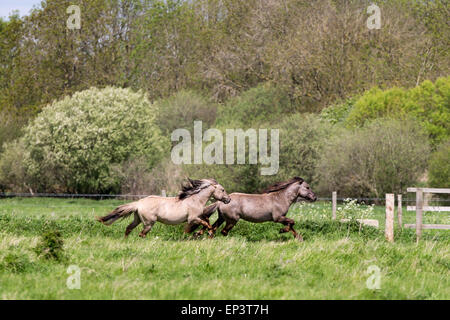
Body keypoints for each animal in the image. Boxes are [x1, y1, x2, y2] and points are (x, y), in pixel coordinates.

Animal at [98, 179, 232, 239]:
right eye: (222, 189)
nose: (228, 200)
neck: (195, 200)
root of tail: (139, 203)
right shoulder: (193, 218)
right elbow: (205, 223)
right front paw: (206, 233)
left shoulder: (199, 216)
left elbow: (207, 221)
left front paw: (201, 233)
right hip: (149, 223)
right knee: (142, 234)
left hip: (138, 220)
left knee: (128, 228)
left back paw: (125, 240)